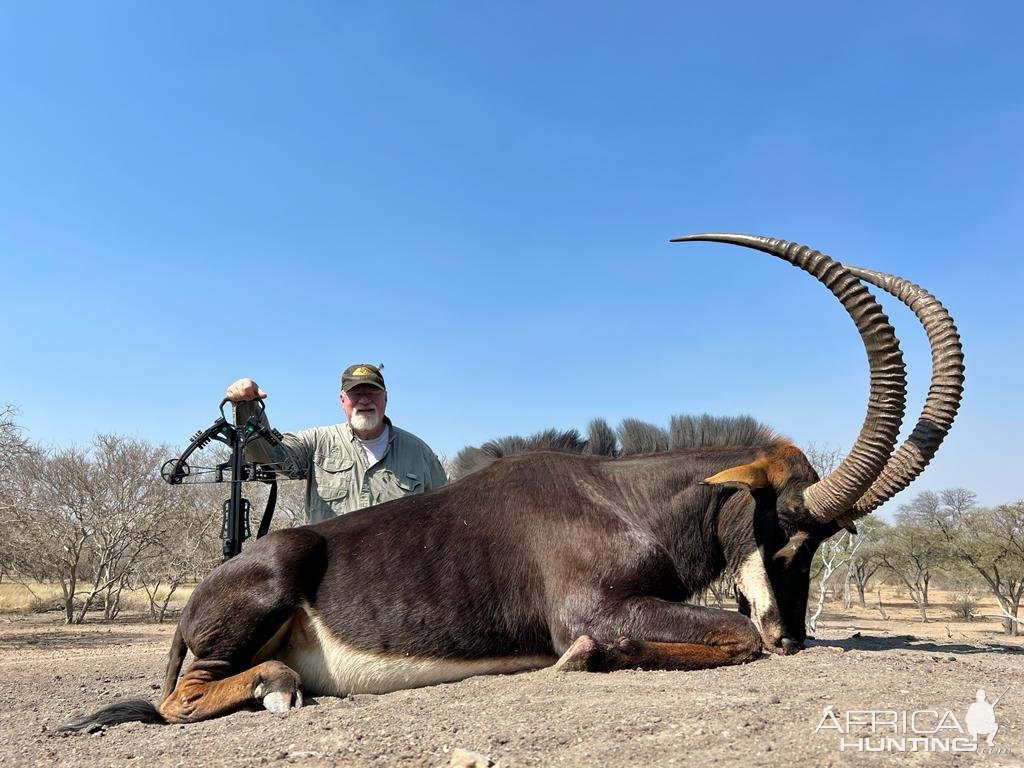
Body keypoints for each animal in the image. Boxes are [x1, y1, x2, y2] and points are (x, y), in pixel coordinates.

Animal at [59, 234, 962, 733]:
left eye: (822, 539)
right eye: (784, 525)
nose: (794, 639)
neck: (621, 498)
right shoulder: (593, 609)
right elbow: (722, 634)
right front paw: (587, 660)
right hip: (271, 583)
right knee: (186, 700)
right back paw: (275, 689)